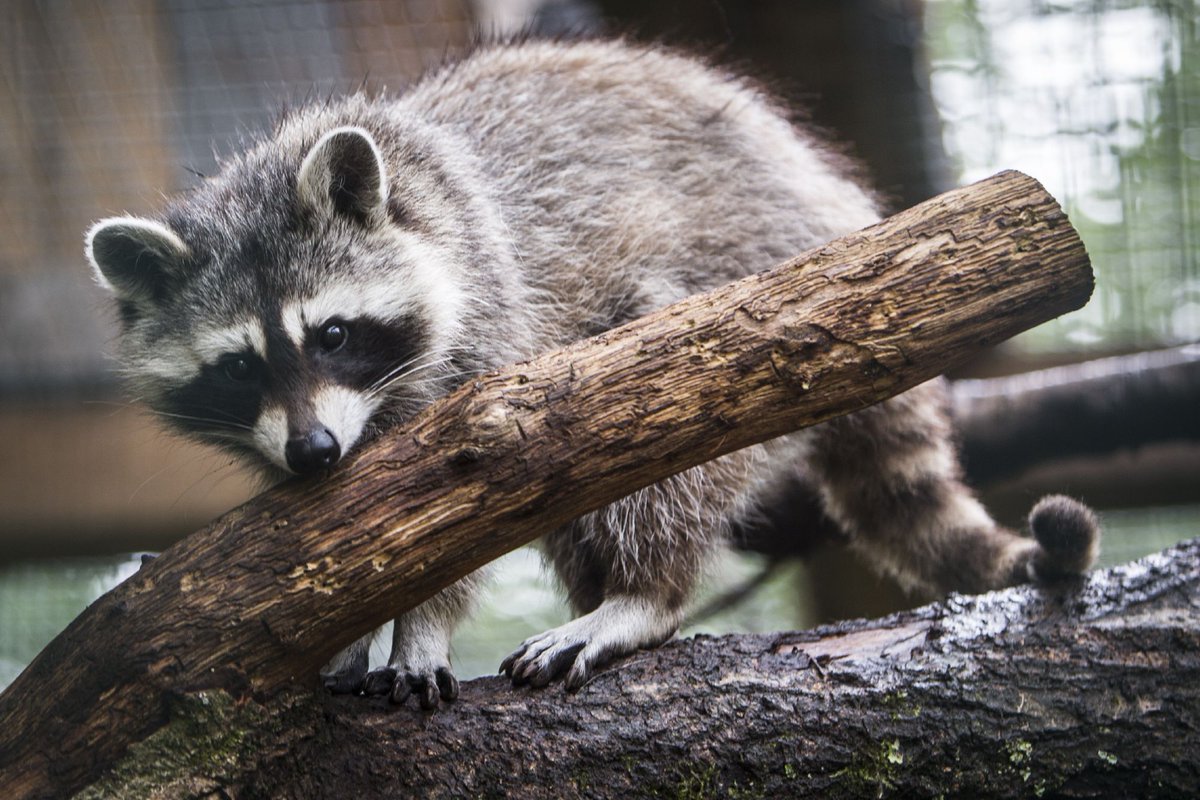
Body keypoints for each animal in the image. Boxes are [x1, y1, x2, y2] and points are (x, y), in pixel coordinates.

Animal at [85, 39, 1100, 708]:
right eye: (238, 367)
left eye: (332, 334)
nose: (315, 452)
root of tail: (826, 202)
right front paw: (349, 626)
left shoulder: (490, 326)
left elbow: (457, 510)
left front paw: (420, 621)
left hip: (745, 296)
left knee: (660, 426)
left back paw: (641, 595)